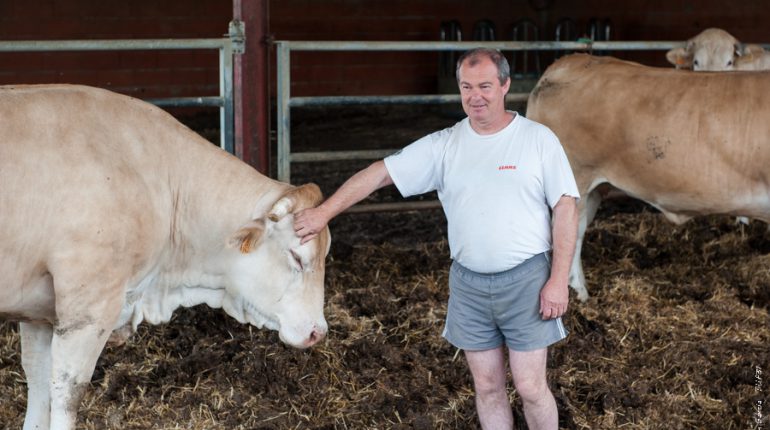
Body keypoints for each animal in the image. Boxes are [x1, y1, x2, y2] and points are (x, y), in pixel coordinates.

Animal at [0, 85, 328, 430]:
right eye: (297, 257)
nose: (318, 332)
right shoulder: (88, 306)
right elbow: (67, 391)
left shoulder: (39, 312)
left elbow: (37, 382)